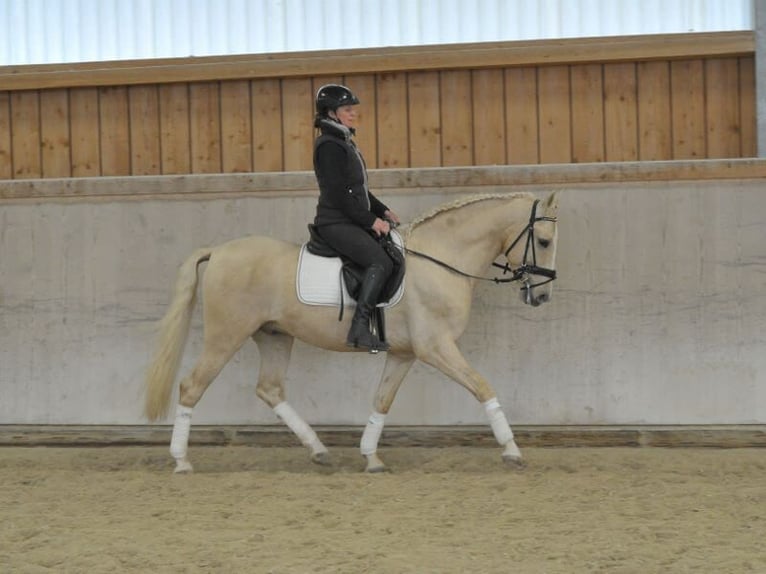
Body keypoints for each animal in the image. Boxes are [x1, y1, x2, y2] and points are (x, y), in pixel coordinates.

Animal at [146, 191, 560, 474]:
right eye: (543, 241)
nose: (541, 296)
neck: (442, 258)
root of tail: (218, 251)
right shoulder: (436, 347)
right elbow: (483, 387)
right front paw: (512, 450)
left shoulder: (404, 353)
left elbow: (382, 401)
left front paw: (371, 456)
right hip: (226, 336)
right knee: (192, 387)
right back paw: (181, 461)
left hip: (274, 336)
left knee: (270, 389)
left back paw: (318, 450)